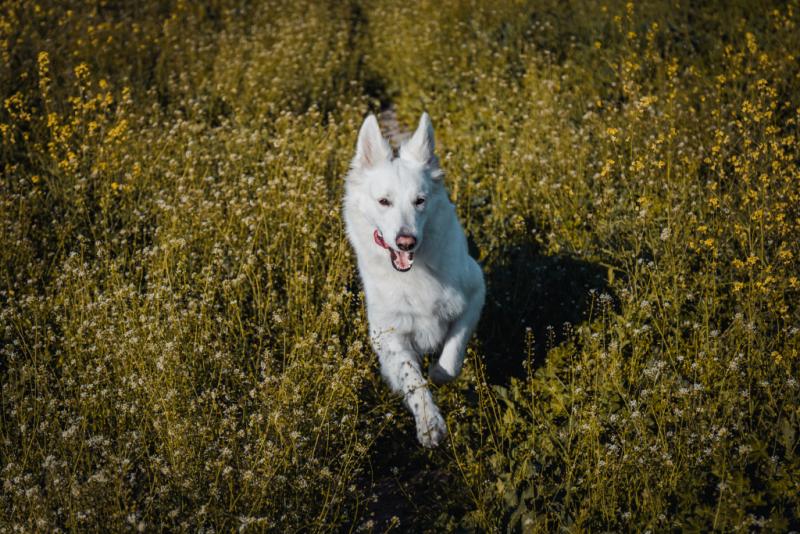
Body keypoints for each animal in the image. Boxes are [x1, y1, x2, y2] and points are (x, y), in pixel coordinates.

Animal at [342, 113, 484, 448]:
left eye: (420, 201)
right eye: (384, 201)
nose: (406, 242)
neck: (414, 273)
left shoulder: (475, 291)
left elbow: (451, 358)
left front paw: (438, 371)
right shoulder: (388, 334)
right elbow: (413, 379)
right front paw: (430, 423)